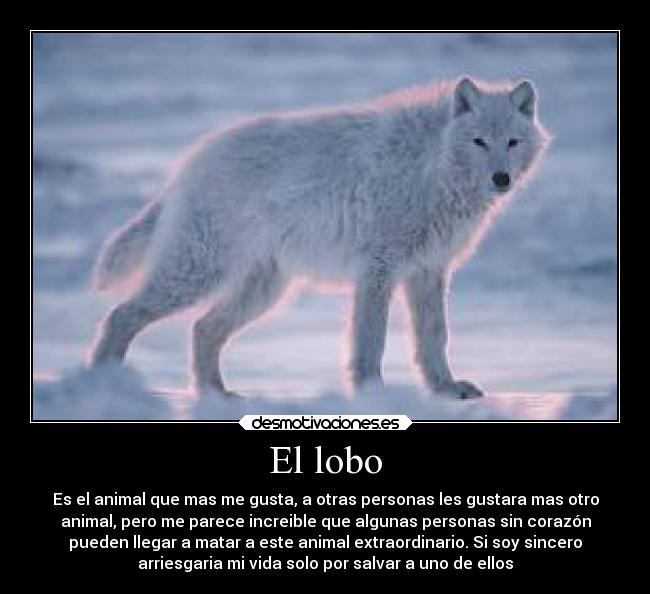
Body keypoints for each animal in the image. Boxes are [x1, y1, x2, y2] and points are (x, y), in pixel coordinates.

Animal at [90, 76, 549, 399]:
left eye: (512, 141)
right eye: (479, 141)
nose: (501, 178)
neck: (430, 166)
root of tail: (188, 165)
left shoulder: (428, 271)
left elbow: (434, 337)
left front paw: (446, 390)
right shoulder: (378, 269)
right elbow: (370, 341)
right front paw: (373, 395)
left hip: (263, 291)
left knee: (202, 329)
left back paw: (216, 396)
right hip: (196, 274)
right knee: (121, 315)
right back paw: (103, 385)